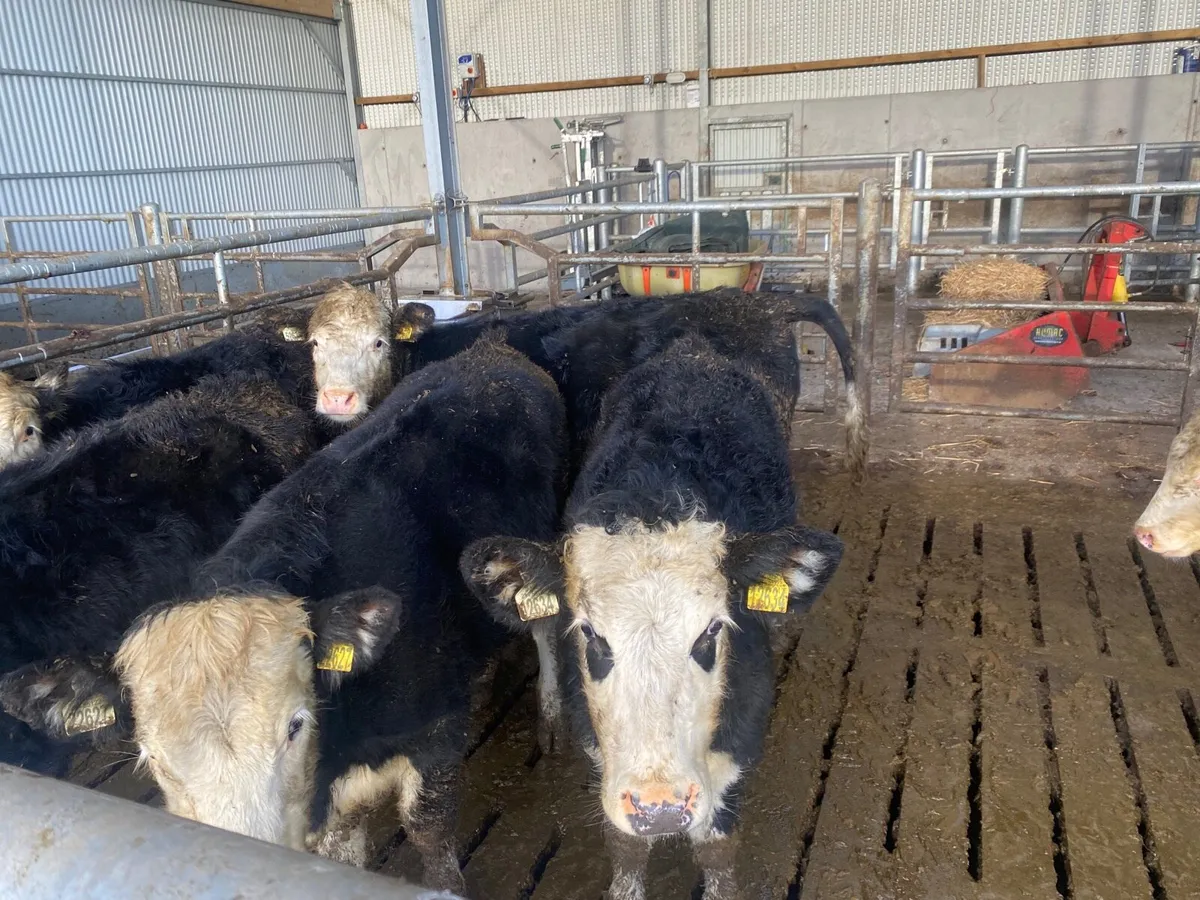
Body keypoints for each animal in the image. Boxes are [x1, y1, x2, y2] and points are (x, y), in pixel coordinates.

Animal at [461, 334, 845, 900]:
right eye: (592, 635)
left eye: (711, 631)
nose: (659, 808)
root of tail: (692, 350)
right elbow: (627, 850)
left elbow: (717, 848)